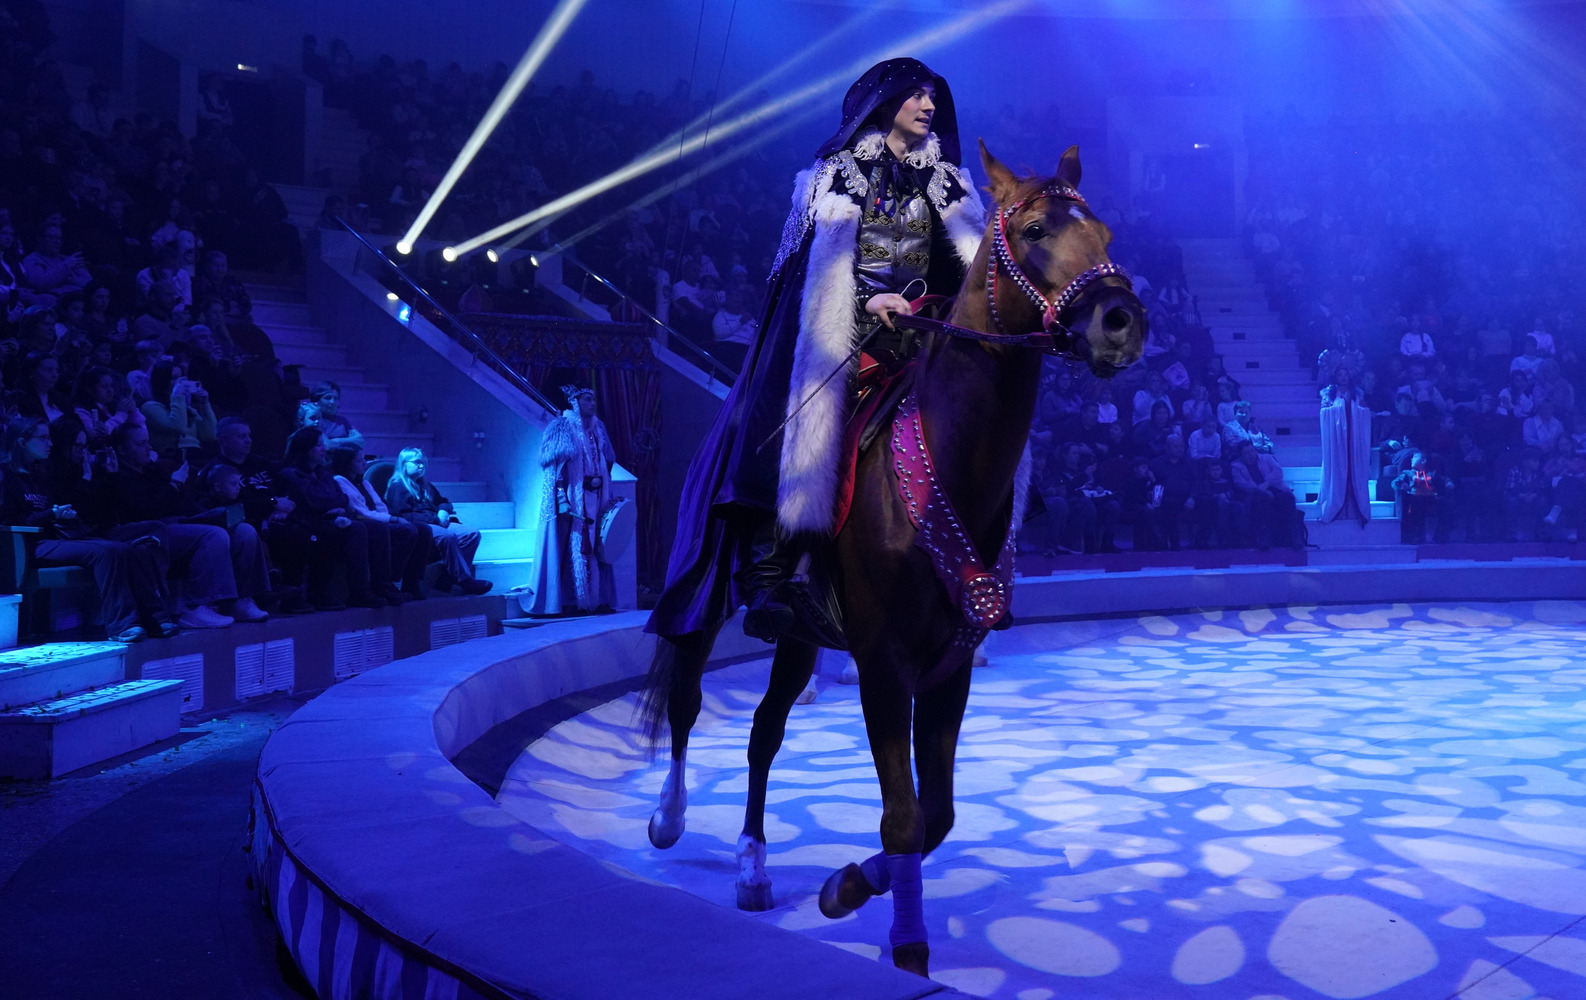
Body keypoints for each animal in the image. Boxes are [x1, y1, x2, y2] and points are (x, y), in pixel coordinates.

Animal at [641, 142, 1146, 976]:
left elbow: (935, 814)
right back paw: (670, 817)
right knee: (684, 695)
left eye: (1104, 230)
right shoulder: (884, 663)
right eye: (1036, 229)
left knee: (764, 730)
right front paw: (905, 947)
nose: (1121, 324)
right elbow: (903, 817)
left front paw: (845, 888)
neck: (950, 460)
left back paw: (753, 864)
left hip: (800, 637)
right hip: (707, 592)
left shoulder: (948, 665)